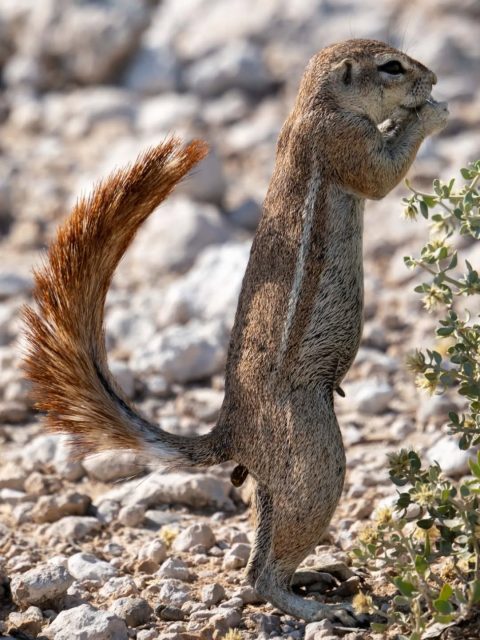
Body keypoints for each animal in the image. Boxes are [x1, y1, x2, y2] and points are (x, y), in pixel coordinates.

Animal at [24, 39, 448, 622]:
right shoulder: (345, 142)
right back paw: (315, 607)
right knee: (265, 571)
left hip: (279, 480)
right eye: (391, 67)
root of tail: (230, 430)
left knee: (259, 559)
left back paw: (314, 576)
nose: (432, 78)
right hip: (314, 458)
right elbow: (382, 173)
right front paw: (429, 112)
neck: (314, 105)